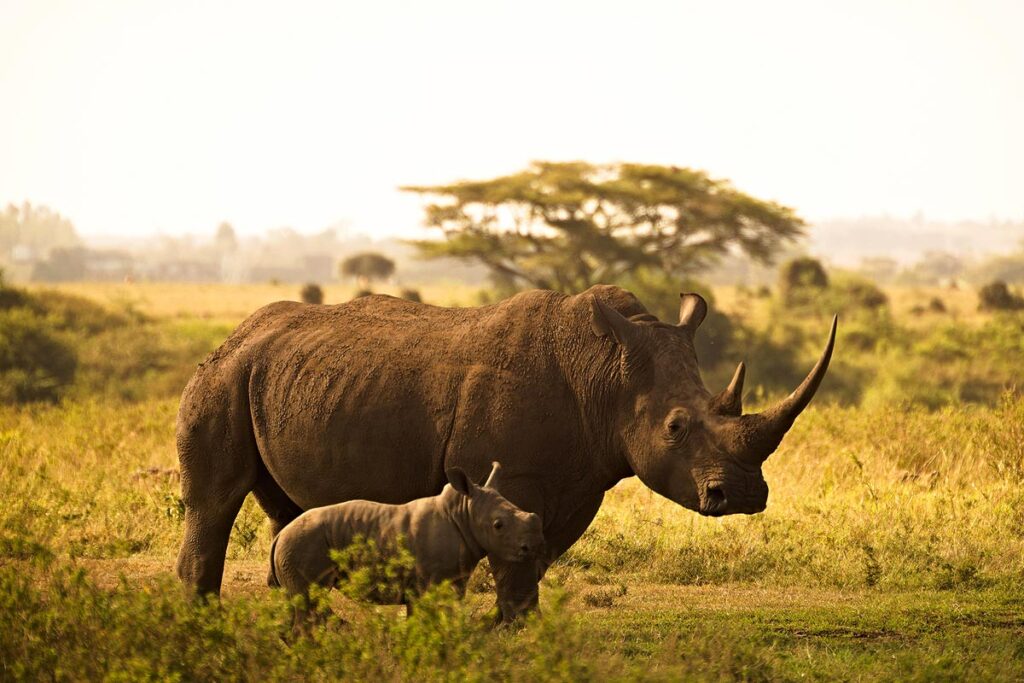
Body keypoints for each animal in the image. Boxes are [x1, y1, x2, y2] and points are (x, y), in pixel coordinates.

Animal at [269, 462, 544, 612]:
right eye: (498, 525)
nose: (534, 547)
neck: (463, 513)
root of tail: (280, 535)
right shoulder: (431, 582)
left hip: (297, 544)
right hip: (301, 544)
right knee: (308, 601)